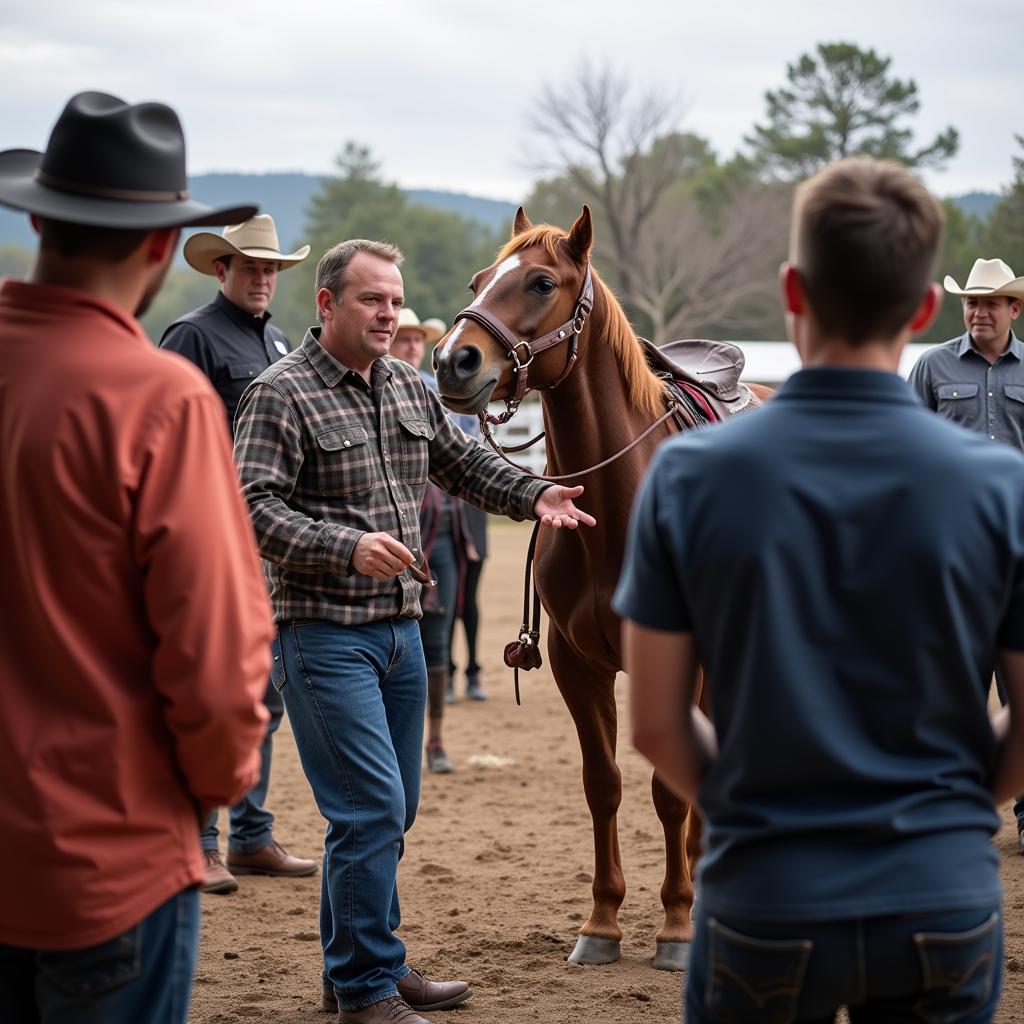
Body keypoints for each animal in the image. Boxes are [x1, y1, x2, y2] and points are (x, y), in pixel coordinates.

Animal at [430, 207, 770, 966]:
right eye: (477, 280)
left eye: (540, 281)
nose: (452, 361)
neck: (620, 509)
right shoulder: (576, 663)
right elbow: (603, 785)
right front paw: (602, 923)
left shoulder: (680, 661)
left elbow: (670, 792)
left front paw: (676, 926)